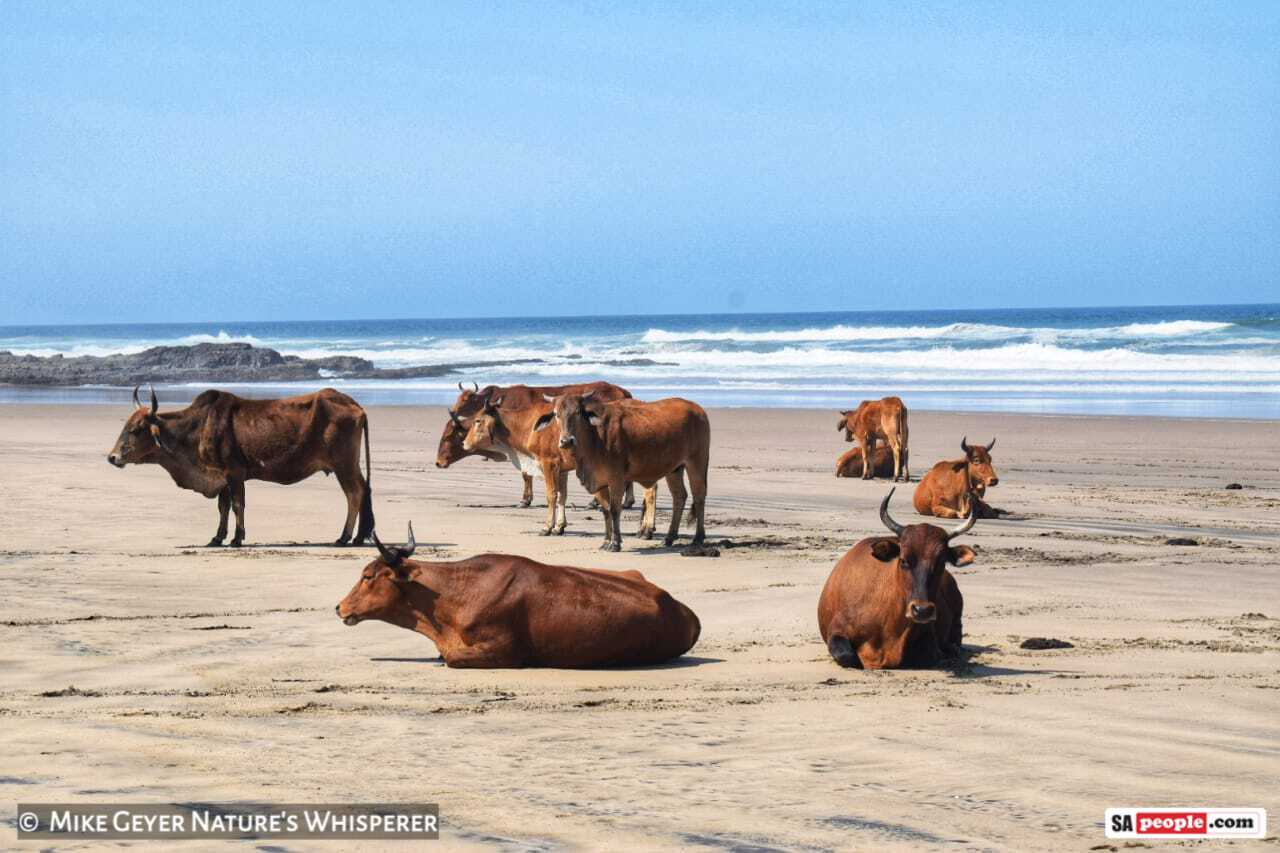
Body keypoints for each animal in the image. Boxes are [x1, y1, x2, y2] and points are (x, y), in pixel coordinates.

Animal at [107, 384, 373, 545]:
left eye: (136, 429)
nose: (112, 457)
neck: (198, 426)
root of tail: (355, 405)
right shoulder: (221, 477)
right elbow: (223, 507)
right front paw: (217, 538)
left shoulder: (234, 473)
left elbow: (237, 505)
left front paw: (237, 538)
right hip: (350, 465)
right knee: (364, 490)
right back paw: (359, 536)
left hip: (343, 465)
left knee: (354, 493)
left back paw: (344, 537)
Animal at [535, 391, 706, 550]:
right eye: (556, 414)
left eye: (577, 412)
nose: (566, 441)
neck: (595, 438)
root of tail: (697, 409)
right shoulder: (599, 482)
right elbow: (606, 510)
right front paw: (606, 541)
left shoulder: (616, 479)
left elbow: (615, 509)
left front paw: (615, 543)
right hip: (674, 470)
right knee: (679, 497)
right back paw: (669, 537)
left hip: (697, 463)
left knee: (699, 496)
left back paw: (698, 538)